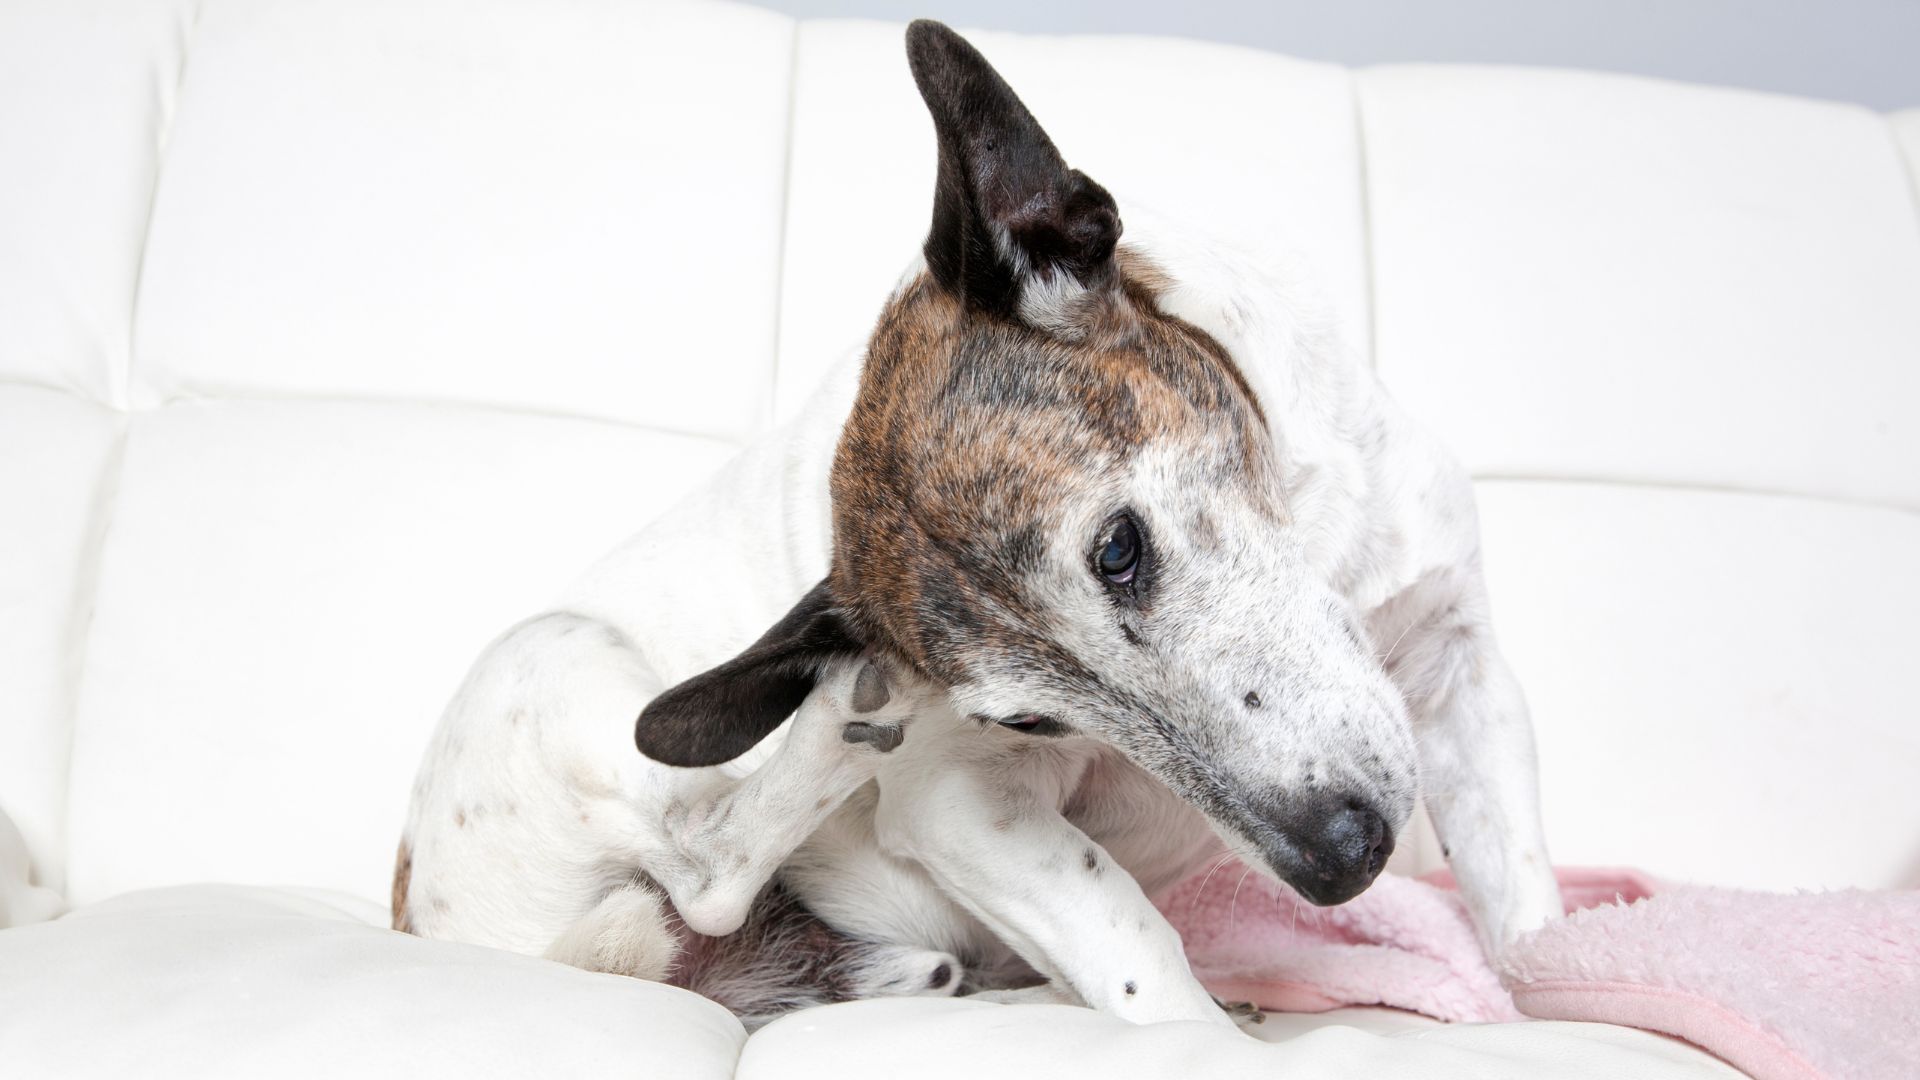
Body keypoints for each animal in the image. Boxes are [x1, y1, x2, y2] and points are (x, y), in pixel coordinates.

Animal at [397, 16, 1566, 1022]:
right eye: (1027, 721)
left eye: (1118, 550)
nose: (1342, 864)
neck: (1311, 525)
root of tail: (440, 929)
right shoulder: (963, 809)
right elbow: (1138, 952)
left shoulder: (1462, 669)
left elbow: (1528, 910)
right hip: (556, 663)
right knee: (705, 879)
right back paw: (833, 722)